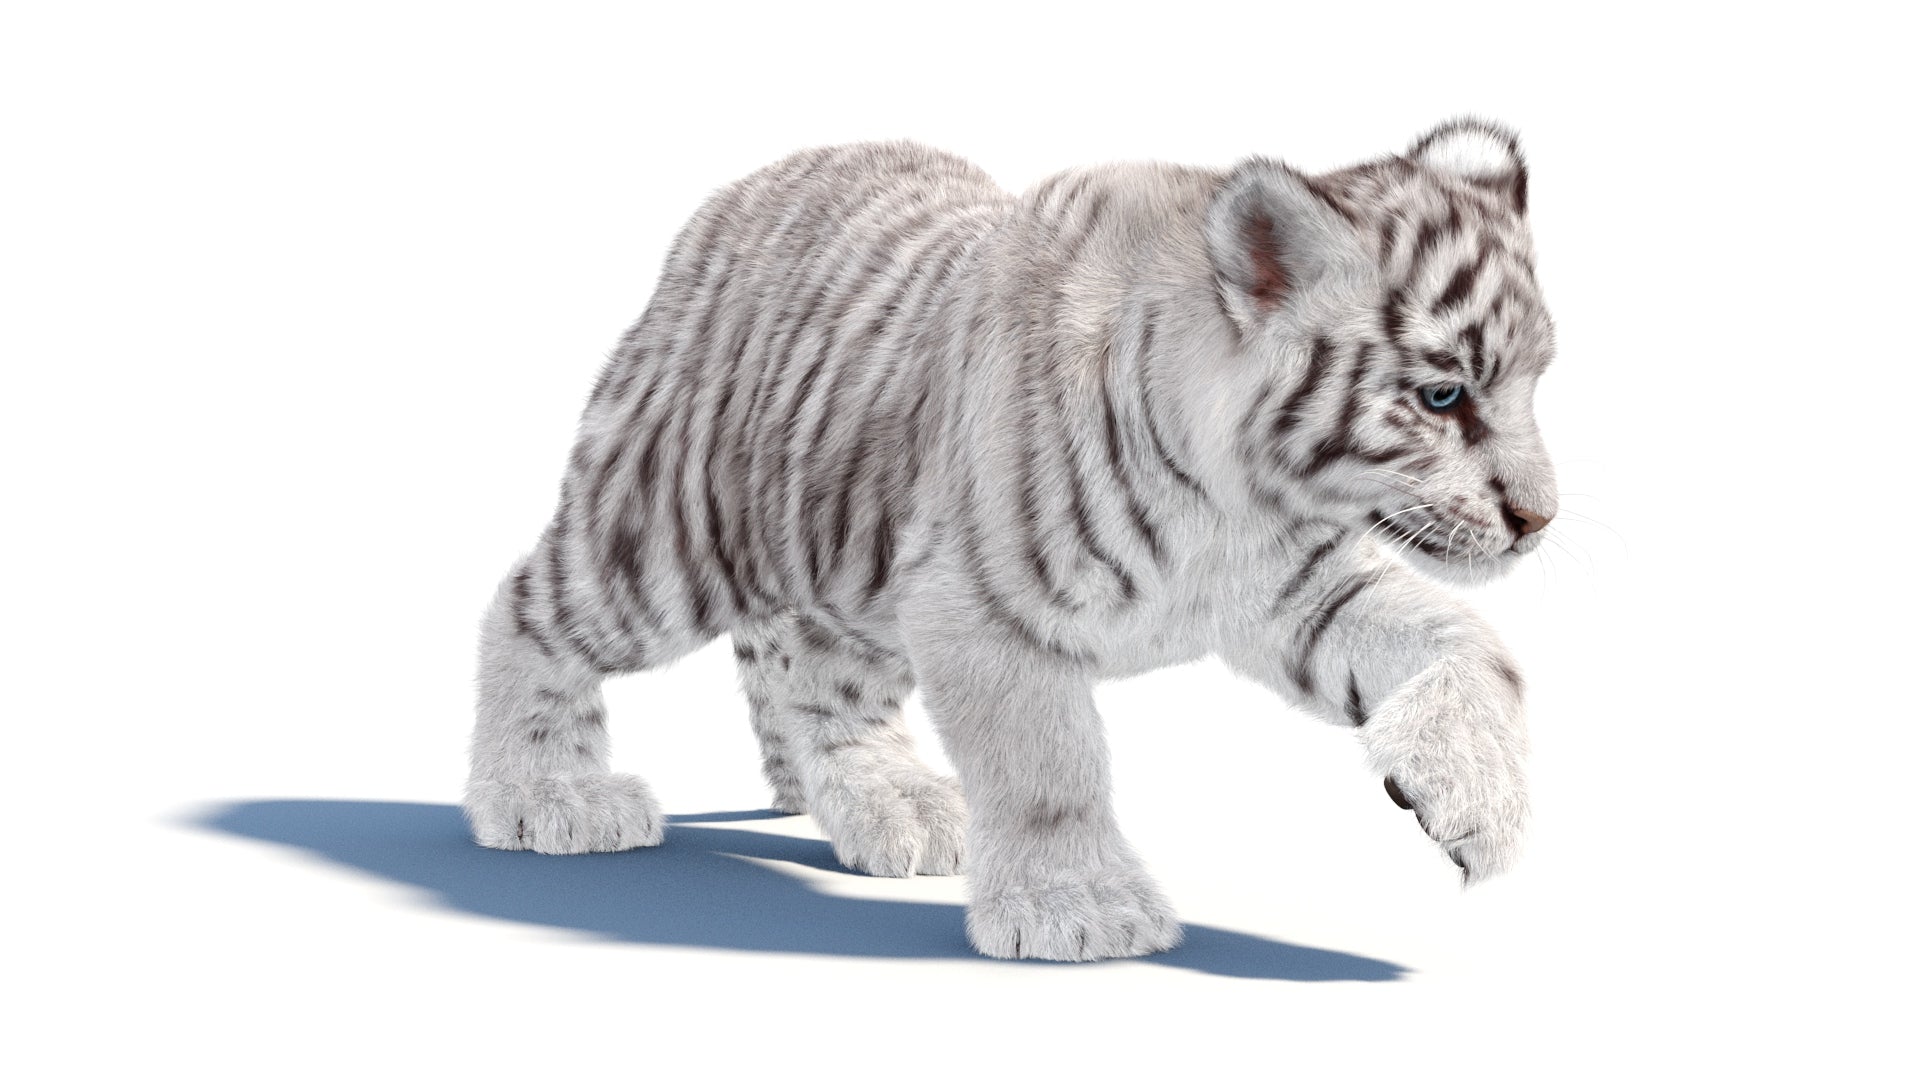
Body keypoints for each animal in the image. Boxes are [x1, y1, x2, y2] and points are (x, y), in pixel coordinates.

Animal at [464, 119, 1558, 962]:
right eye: (1443, 395)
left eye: (1536, 379)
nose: (1538, 519)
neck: (1240, 497)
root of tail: (742, 193)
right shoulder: (983, 608)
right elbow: (1046, 767)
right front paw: (1082, 910)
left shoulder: (1303, 589)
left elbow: (1481, 650)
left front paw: (1476, 806)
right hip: (667, 538)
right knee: (526, 607)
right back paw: (548, 796)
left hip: (848, 574)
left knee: (812, 680)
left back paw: (894, 807)